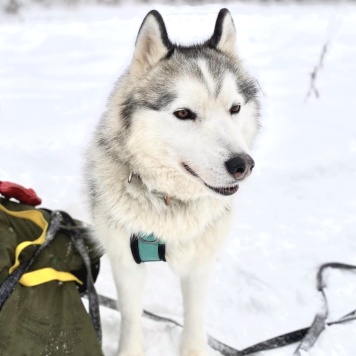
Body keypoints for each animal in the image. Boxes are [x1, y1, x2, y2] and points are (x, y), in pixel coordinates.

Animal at [85, 8, 258, 356]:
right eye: (183, 113)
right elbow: (131, 318)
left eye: (234, 108)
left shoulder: (199, 264)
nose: (242, 165)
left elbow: (194, 322)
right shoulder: (126, 260)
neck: (167, 202)